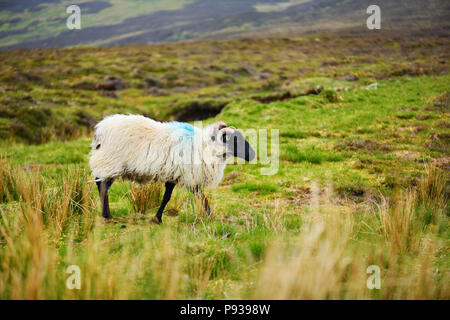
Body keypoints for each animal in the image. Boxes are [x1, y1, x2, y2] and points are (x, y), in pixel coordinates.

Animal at [89, 114, 255, 222]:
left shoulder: (173, 175)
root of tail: (99, 131)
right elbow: (201, 196)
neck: (206, 147)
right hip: (109, 162)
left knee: (102, 184)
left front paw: (157, 217)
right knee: (102, 185)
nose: (252, 155)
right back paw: (107, 215)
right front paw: (209, 215)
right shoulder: (190, 176)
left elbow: (167, 197)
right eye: (235, 140)